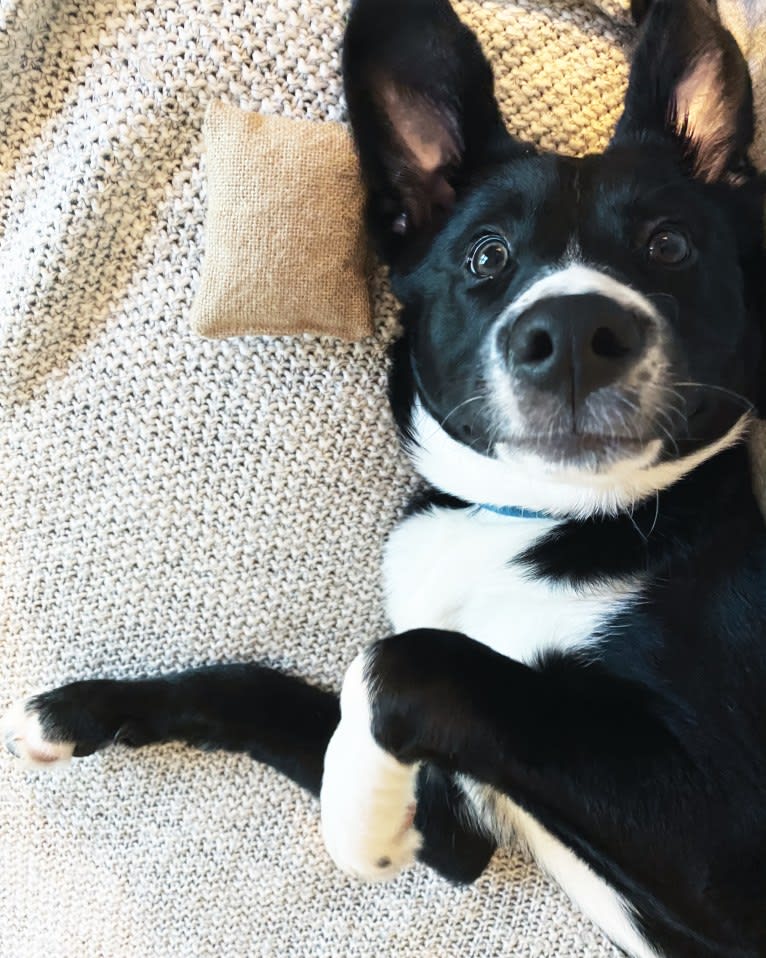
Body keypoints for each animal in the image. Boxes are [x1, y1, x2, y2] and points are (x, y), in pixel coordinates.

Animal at [4, 0, 766, 956]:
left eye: (669, 244)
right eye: (485, 256)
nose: (574, 335)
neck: (536, 519)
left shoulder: (723, 840)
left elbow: (406, 659)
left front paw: (357, 828)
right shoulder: (463, 813)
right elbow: (265, 692)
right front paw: (83, 712)